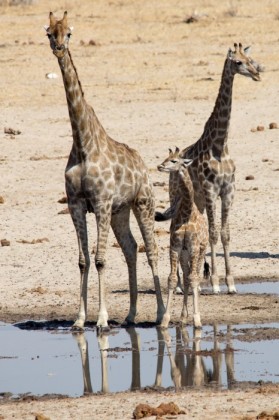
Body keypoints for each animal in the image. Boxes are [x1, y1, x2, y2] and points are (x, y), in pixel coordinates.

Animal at [44, 10, 165, 332]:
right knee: (131, 248)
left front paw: (101, 320)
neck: (83, 143)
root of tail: (143, 165)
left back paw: (163, 315)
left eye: (69, 33)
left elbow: (99, 259)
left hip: (143, 203)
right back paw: (131, 315)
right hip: (120, 211)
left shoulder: (100, 203)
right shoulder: (77, 204)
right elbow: (83, 260)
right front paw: (79, 319)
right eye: (49, 32)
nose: (58, 48)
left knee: (151, 250)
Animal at [156, 41, 264, 292]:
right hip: (179, 195)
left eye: (250, 59)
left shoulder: (228, 191)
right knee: (173, 225)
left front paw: (230, 283)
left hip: (198, 200)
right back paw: (180, 285)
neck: (220, 145)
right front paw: (215, 282)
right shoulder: (211, 190)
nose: (257, 74)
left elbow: (224, 233)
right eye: (238, 62)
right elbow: (214, 233)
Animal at [159, 147, 209, 328]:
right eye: (166, 158)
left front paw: (197, 319)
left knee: (195, 276)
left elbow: (194, 279)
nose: (160, 166)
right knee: (186, 278)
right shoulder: (175, 247)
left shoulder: (194, 247)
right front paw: (165, 320)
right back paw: (182, 317)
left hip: (201, 251)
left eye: (174, 161)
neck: (187, 213)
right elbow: (172, 279)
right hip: (184, 255)